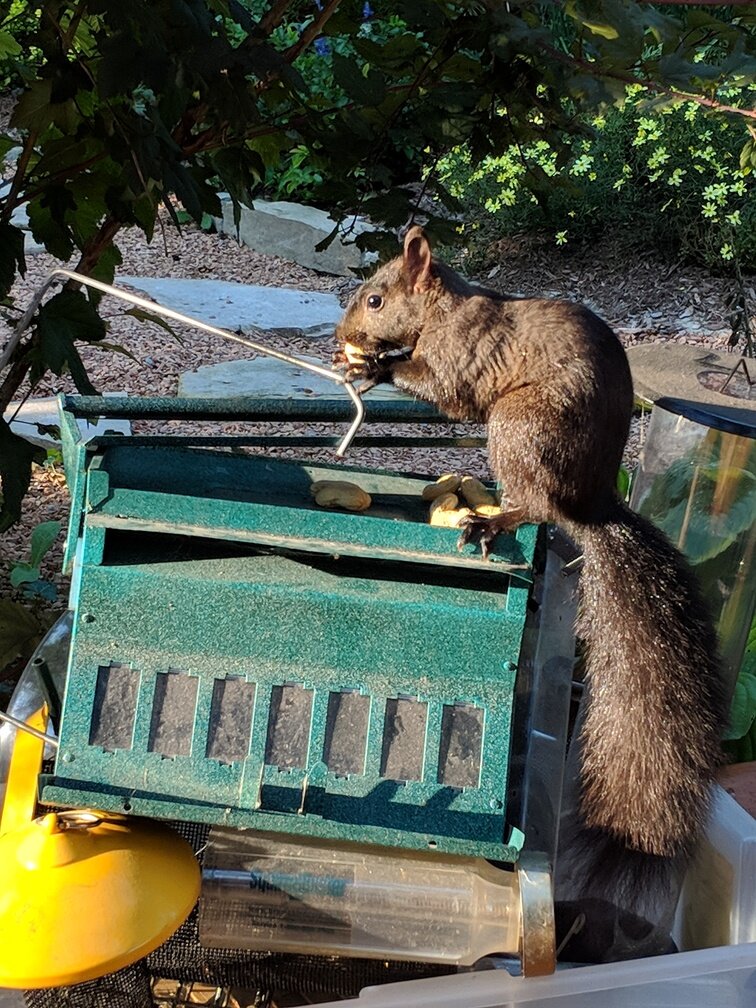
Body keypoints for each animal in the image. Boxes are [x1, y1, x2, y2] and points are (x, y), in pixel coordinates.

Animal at [333, 226, 729, 959]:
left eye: (375, 299)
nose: (343, 334)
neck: (447, 310)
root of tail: (588, 504)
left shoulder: (464, 356)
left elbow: (447, 389)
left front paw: (376, 367)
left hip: (519, 426)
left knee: (536, 505)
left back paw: (494, 519)